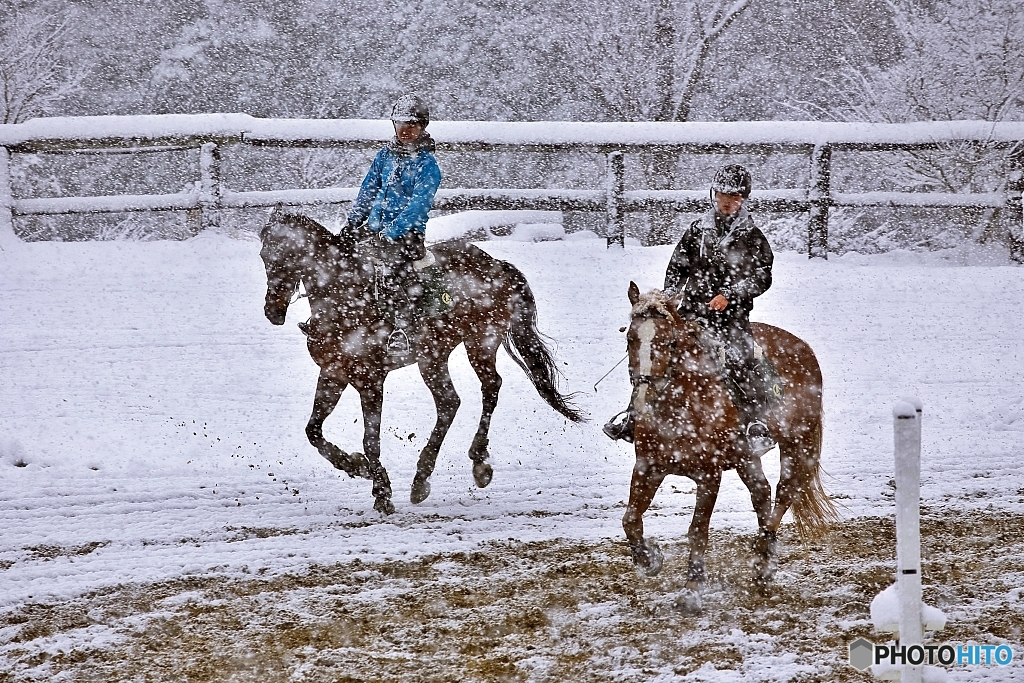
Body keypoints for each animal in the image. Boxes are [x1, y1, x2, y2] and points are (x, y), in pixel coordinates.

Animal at [260, 208, 585, 511]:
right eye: (264, 255)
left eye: (286, 254)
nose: (272, 311)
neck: (343, 298)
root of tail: (496, 264)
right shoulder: (333, 373)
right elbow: (313, 431)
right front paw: (356, 466)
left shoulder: (371, 380)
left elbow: (370, 439)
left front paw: (381, 492)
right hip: (433, 357)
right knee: (449, 403)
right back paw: (422, 478)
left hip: (480, 342)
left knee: (490, 387)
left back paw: (478, 461)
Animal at [618, 280, 835, 610]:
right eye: (631, 338)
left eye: (669, 343)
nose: (643, 400)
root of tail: (803, 347)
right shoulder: (648, 466)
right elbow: (630, 518)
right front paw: (649, 560)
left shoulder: (709, 475)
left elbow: (698, 530)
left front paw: (692, 589)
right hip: (747, 457)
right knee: (762, 493)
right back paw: (763, 565)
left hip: (797, 445)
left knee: (783, 493)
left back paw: (763, 560)